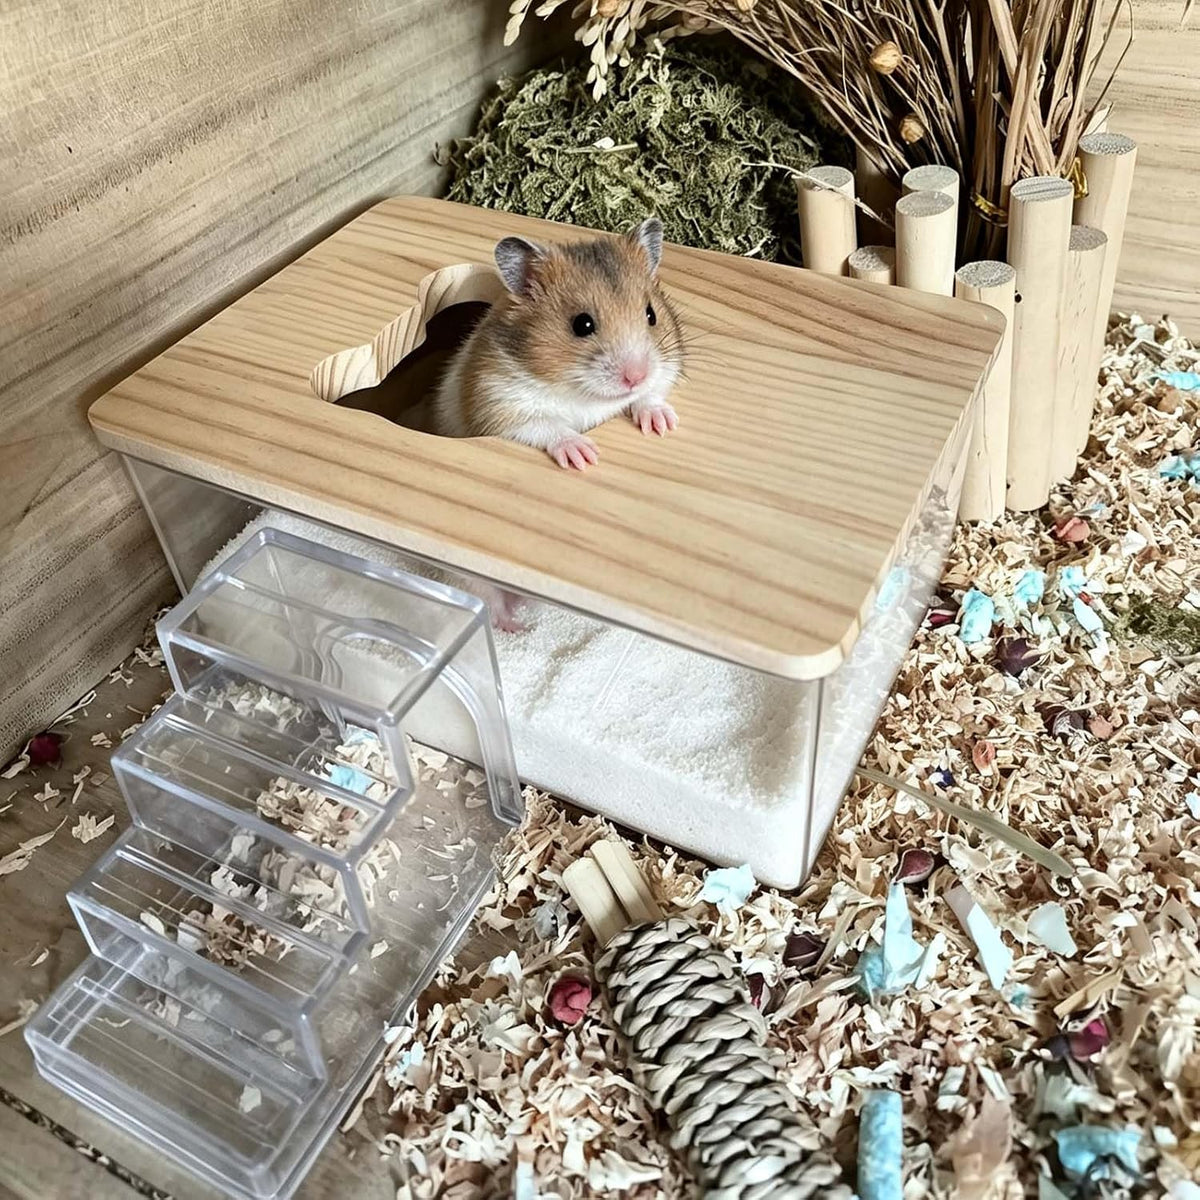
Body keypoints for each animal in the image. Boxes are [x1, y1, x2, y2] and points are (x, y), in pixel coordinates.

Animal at [431, 217, 684, 471]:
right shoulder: (497, 404)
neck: (584, 392)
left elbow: (650, 393)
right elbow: (546, 427)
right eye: (582, 324)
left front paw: (664, 423)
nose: (637, 377)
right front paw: (584, 456)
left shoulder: (665, 369)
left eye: (651, 315)